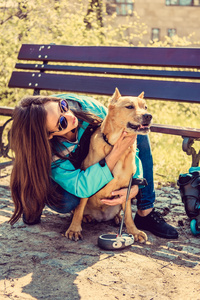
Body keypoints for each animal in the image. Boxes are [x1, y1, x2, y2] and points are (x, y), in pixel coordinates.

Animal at [65, 88, 152, 243]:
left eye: (145, 107)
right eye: (130, 106)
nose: (148, 116)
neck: (115, 145)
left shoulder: (127, 189)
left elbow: (129, 215)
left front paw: (134, 231)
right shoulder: (86, 182)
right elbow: (79, 209)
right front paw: (74, 229)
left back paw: (117, 218)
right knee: (79, 210)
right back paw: (86, 217)